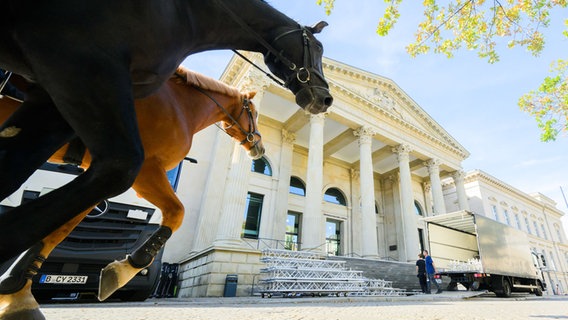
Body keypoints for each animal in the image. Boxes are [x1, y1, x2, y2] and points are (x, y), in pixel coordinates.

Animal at [0, 67, 266, 318]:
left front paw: (17, 289)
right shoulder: (143, 169)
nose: (260, 148)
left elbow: (60, 230)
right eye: (254, 112)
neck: (181, 105)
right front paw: (127, 267)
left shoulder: (101, 175)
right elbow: (177, 212)